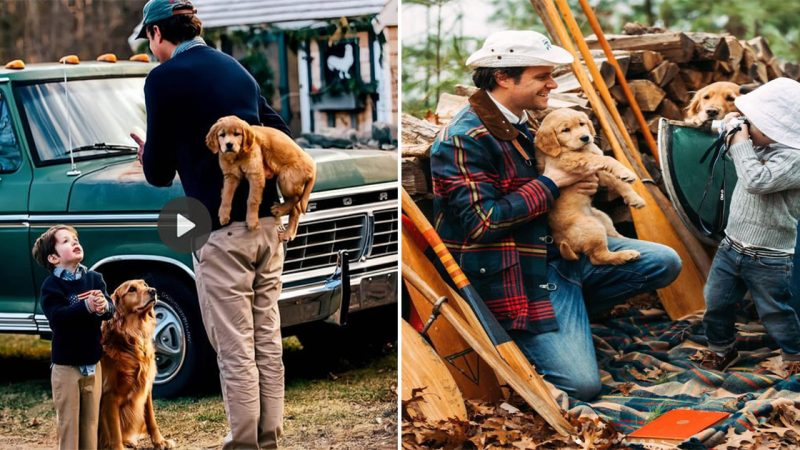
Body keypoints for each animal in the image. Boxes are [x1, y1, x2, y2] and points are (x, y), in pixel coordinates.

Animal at [99, 280, 173, 448]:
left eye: (145, 284)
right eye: (132, 289)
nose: (153, 290)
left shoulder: (146, 387)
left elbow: (151, 418)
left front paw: (160, 441)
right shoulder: (109, 394)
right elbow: (115, 430)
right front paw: (118, 448)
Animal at [536, 107, 644, 266]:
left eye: (582, 124)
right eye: (565, 130)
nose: (586, 137)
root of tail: (561, 242)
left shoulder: (599, 172)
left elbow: (618, 181)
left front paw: (635, 198)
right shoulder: (574, 160)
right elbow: (607, 158)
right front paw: (626, 172)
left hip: (603, 218)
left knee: (613, 235)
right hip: (592, 227)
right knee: (598, 257)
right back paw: (627, 254)